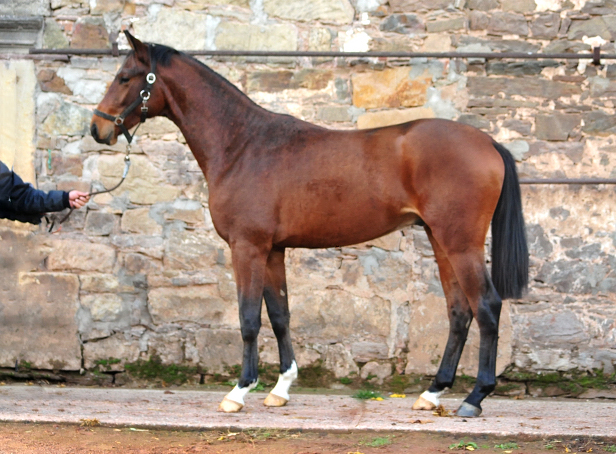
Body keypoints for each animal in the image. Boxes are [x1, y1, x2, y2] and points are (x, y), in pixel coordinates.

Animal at [91, 30, 528, 416]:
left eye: (125, 77)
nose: (98, 128)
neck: (242, 145)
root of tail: (488, 142)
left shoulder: (247, 247)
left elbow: (248, 318)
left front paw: (238, 392)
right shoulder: (272, 251)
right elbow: (280, 316)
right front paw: (281, 389)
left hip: (460, 243)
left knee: (486, 306)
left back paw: (474, 398)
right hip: (440, 241)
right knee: (459, 312)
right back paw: (432, 393)